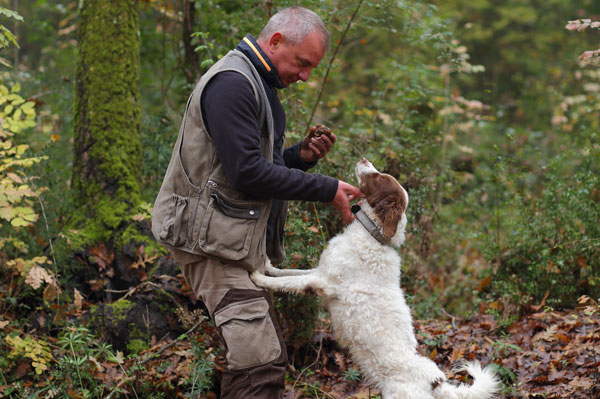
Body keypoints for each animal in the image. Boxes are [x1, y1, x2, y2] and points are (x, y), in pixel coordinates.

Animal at [251, 159, 500, 399]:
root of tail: (437, 383)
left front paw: (257, 277)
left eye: (380, 178)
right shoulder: (320, 272)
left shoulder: (321, 283)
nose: (363, 159)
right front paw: (267, 266)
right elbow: (288, 272)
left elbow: (285, 283)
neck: (372, 236)